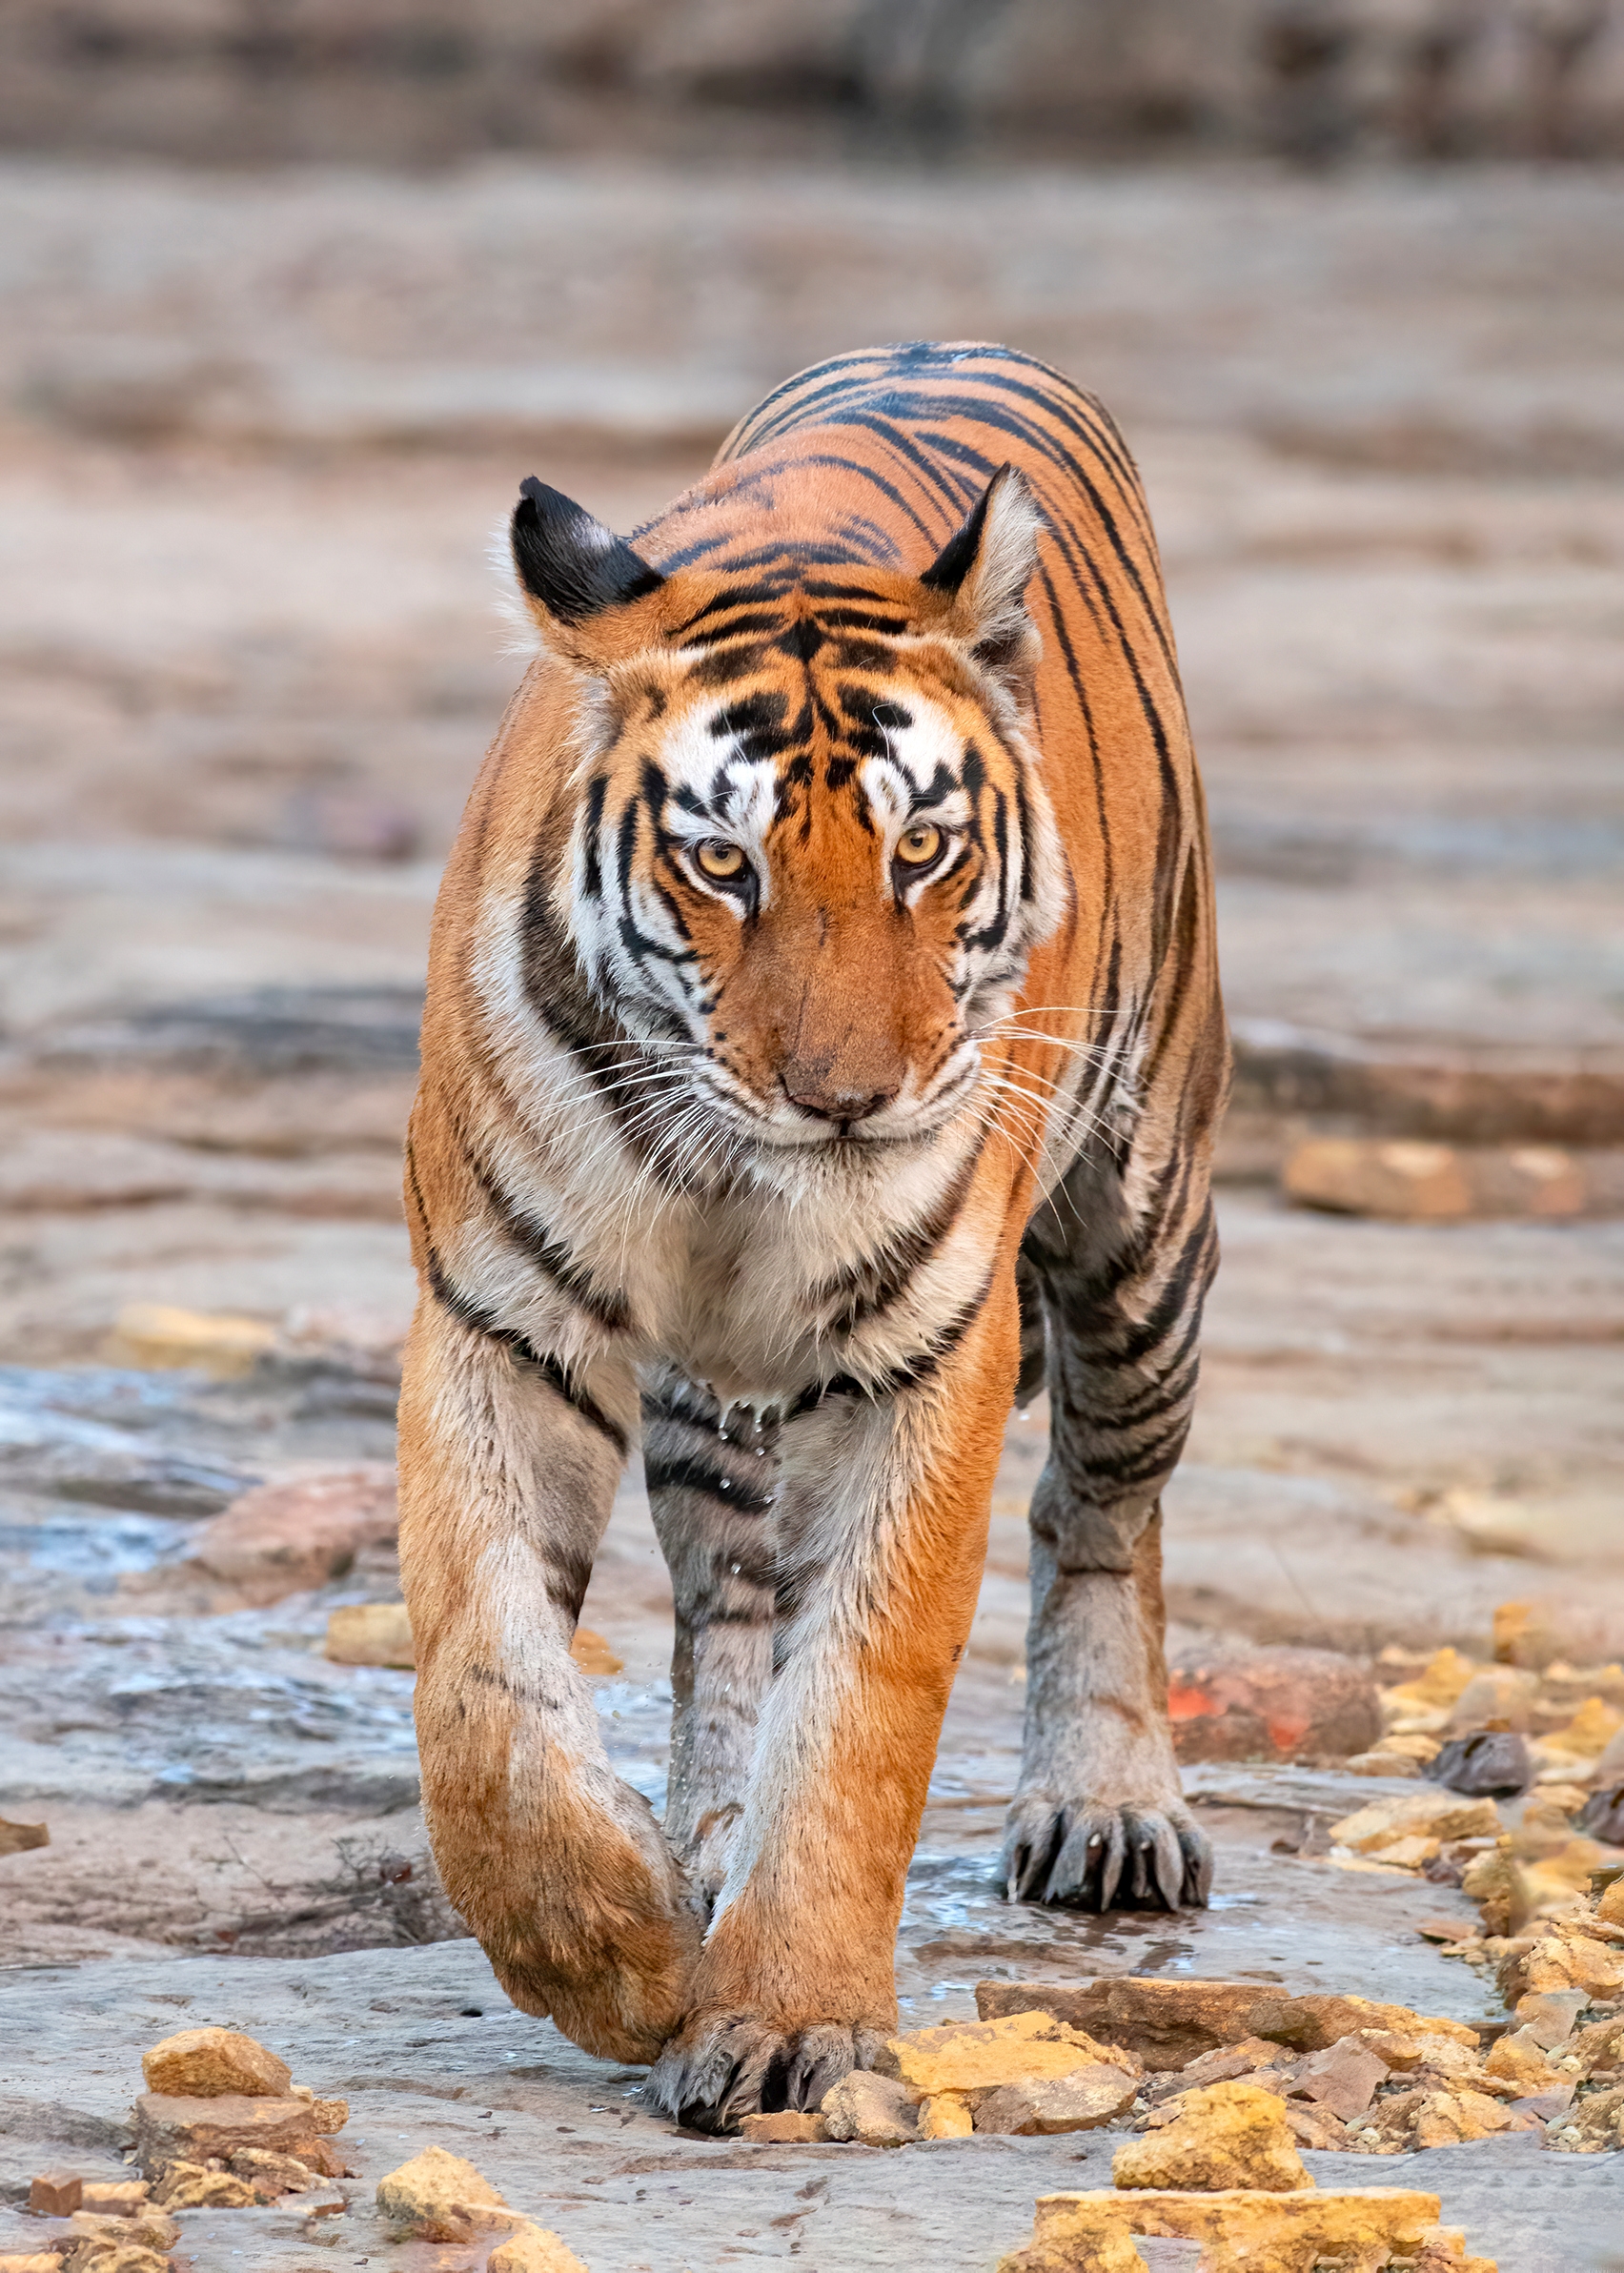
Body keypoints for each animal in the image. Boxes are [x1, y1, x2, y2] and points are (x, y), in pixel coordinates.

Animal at [398, 339, 1228, 2134]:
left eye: (922, 849)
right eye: (723, 864)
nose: (847, 1102)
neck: (729, 1168)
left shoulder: (930, 1352)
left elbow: (859, 1698)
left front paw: (784, 2022)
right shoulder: (500, 1314)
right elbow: (487, 1679)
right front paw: (617, 1956)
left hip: (1145, 1229)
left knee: (1101, 1507)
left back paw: (1107, 1804)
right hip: (711, 1406)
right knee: (726, 1600)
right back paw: (705, 1843)